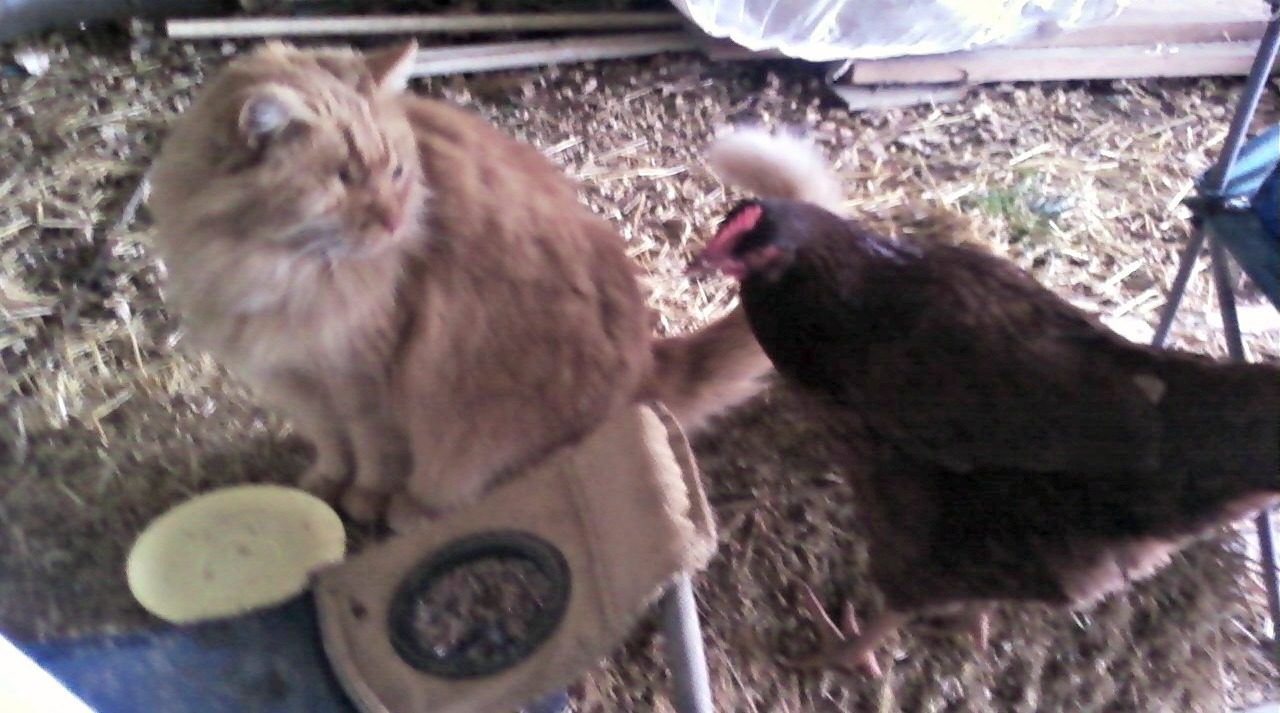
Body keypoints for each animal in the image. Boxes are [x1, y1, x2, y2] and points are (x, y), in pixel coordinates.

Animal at [148, 40, 771, 531]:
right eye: (345, 178)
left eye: (396, 172)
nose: (394, 221)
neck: (272, 264)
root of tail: (644, 359)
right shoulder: (293, 380)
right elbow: (330, 445)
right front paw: (324, 484)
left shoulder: (363, 379)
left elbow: (372, 452)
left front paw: (364, 499)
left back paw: (410, 510)